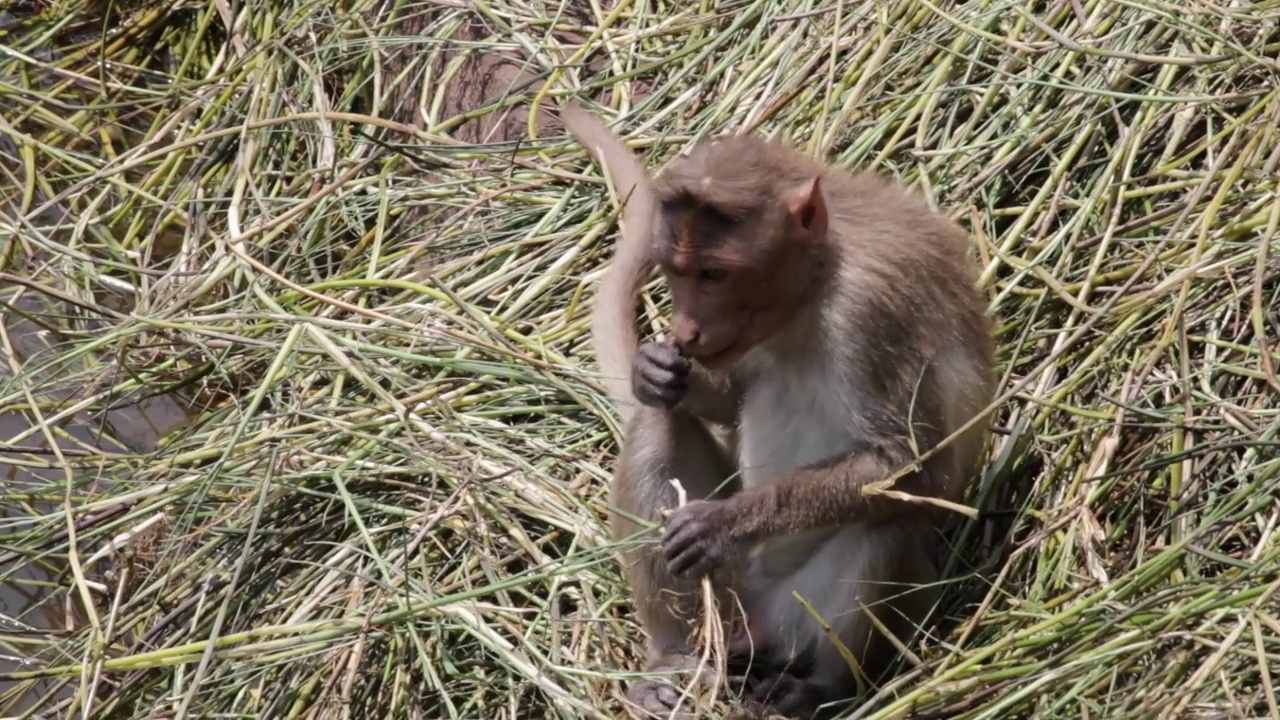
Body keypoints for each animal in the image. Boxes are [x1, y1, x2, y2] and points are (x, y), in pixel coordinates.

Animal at [563, 102, 998, 717]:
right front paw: (656, 372)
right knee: (655, 424)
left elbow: (913, 467)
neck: (814, 287)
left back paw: (825, 688)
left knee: (888, 520)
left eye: (714, 274)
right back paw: (675, 658)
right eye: (676, 270)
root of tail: (758, 628)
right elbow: (720, 401)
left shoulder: (872, 312)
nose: (685, 330)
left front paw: (725, 522)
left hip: (803, 611)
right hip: (726, 598)